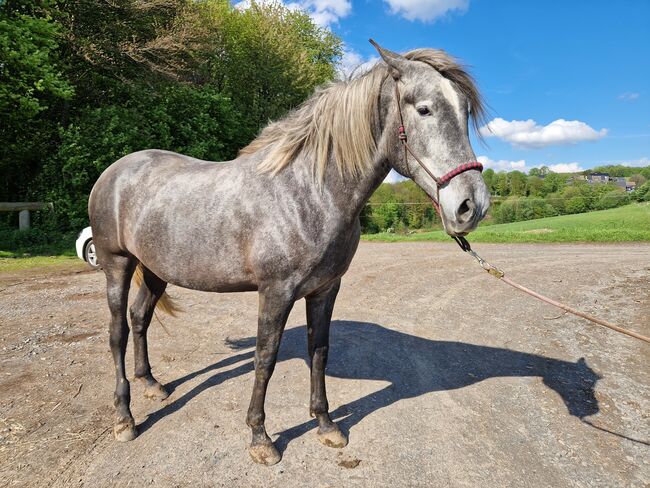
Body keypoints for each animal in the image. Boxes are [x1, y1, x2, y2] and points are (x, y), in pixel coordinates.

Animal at [88, 40, 488, 464]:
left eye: (464, 112)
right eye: (424, 109)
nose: (471, 205)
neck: (308, 192)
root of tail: (113, 173)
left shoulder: (325, 289)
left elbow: (319, 351)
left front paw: (326, 425)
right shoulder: (276, 292)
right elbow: (265, 358)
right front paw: (260, 438)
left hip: (155, 270)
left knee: (140, 318)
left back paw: (151, 383)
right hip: (117, 265)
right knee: (117, 332)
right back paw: (125, 419)